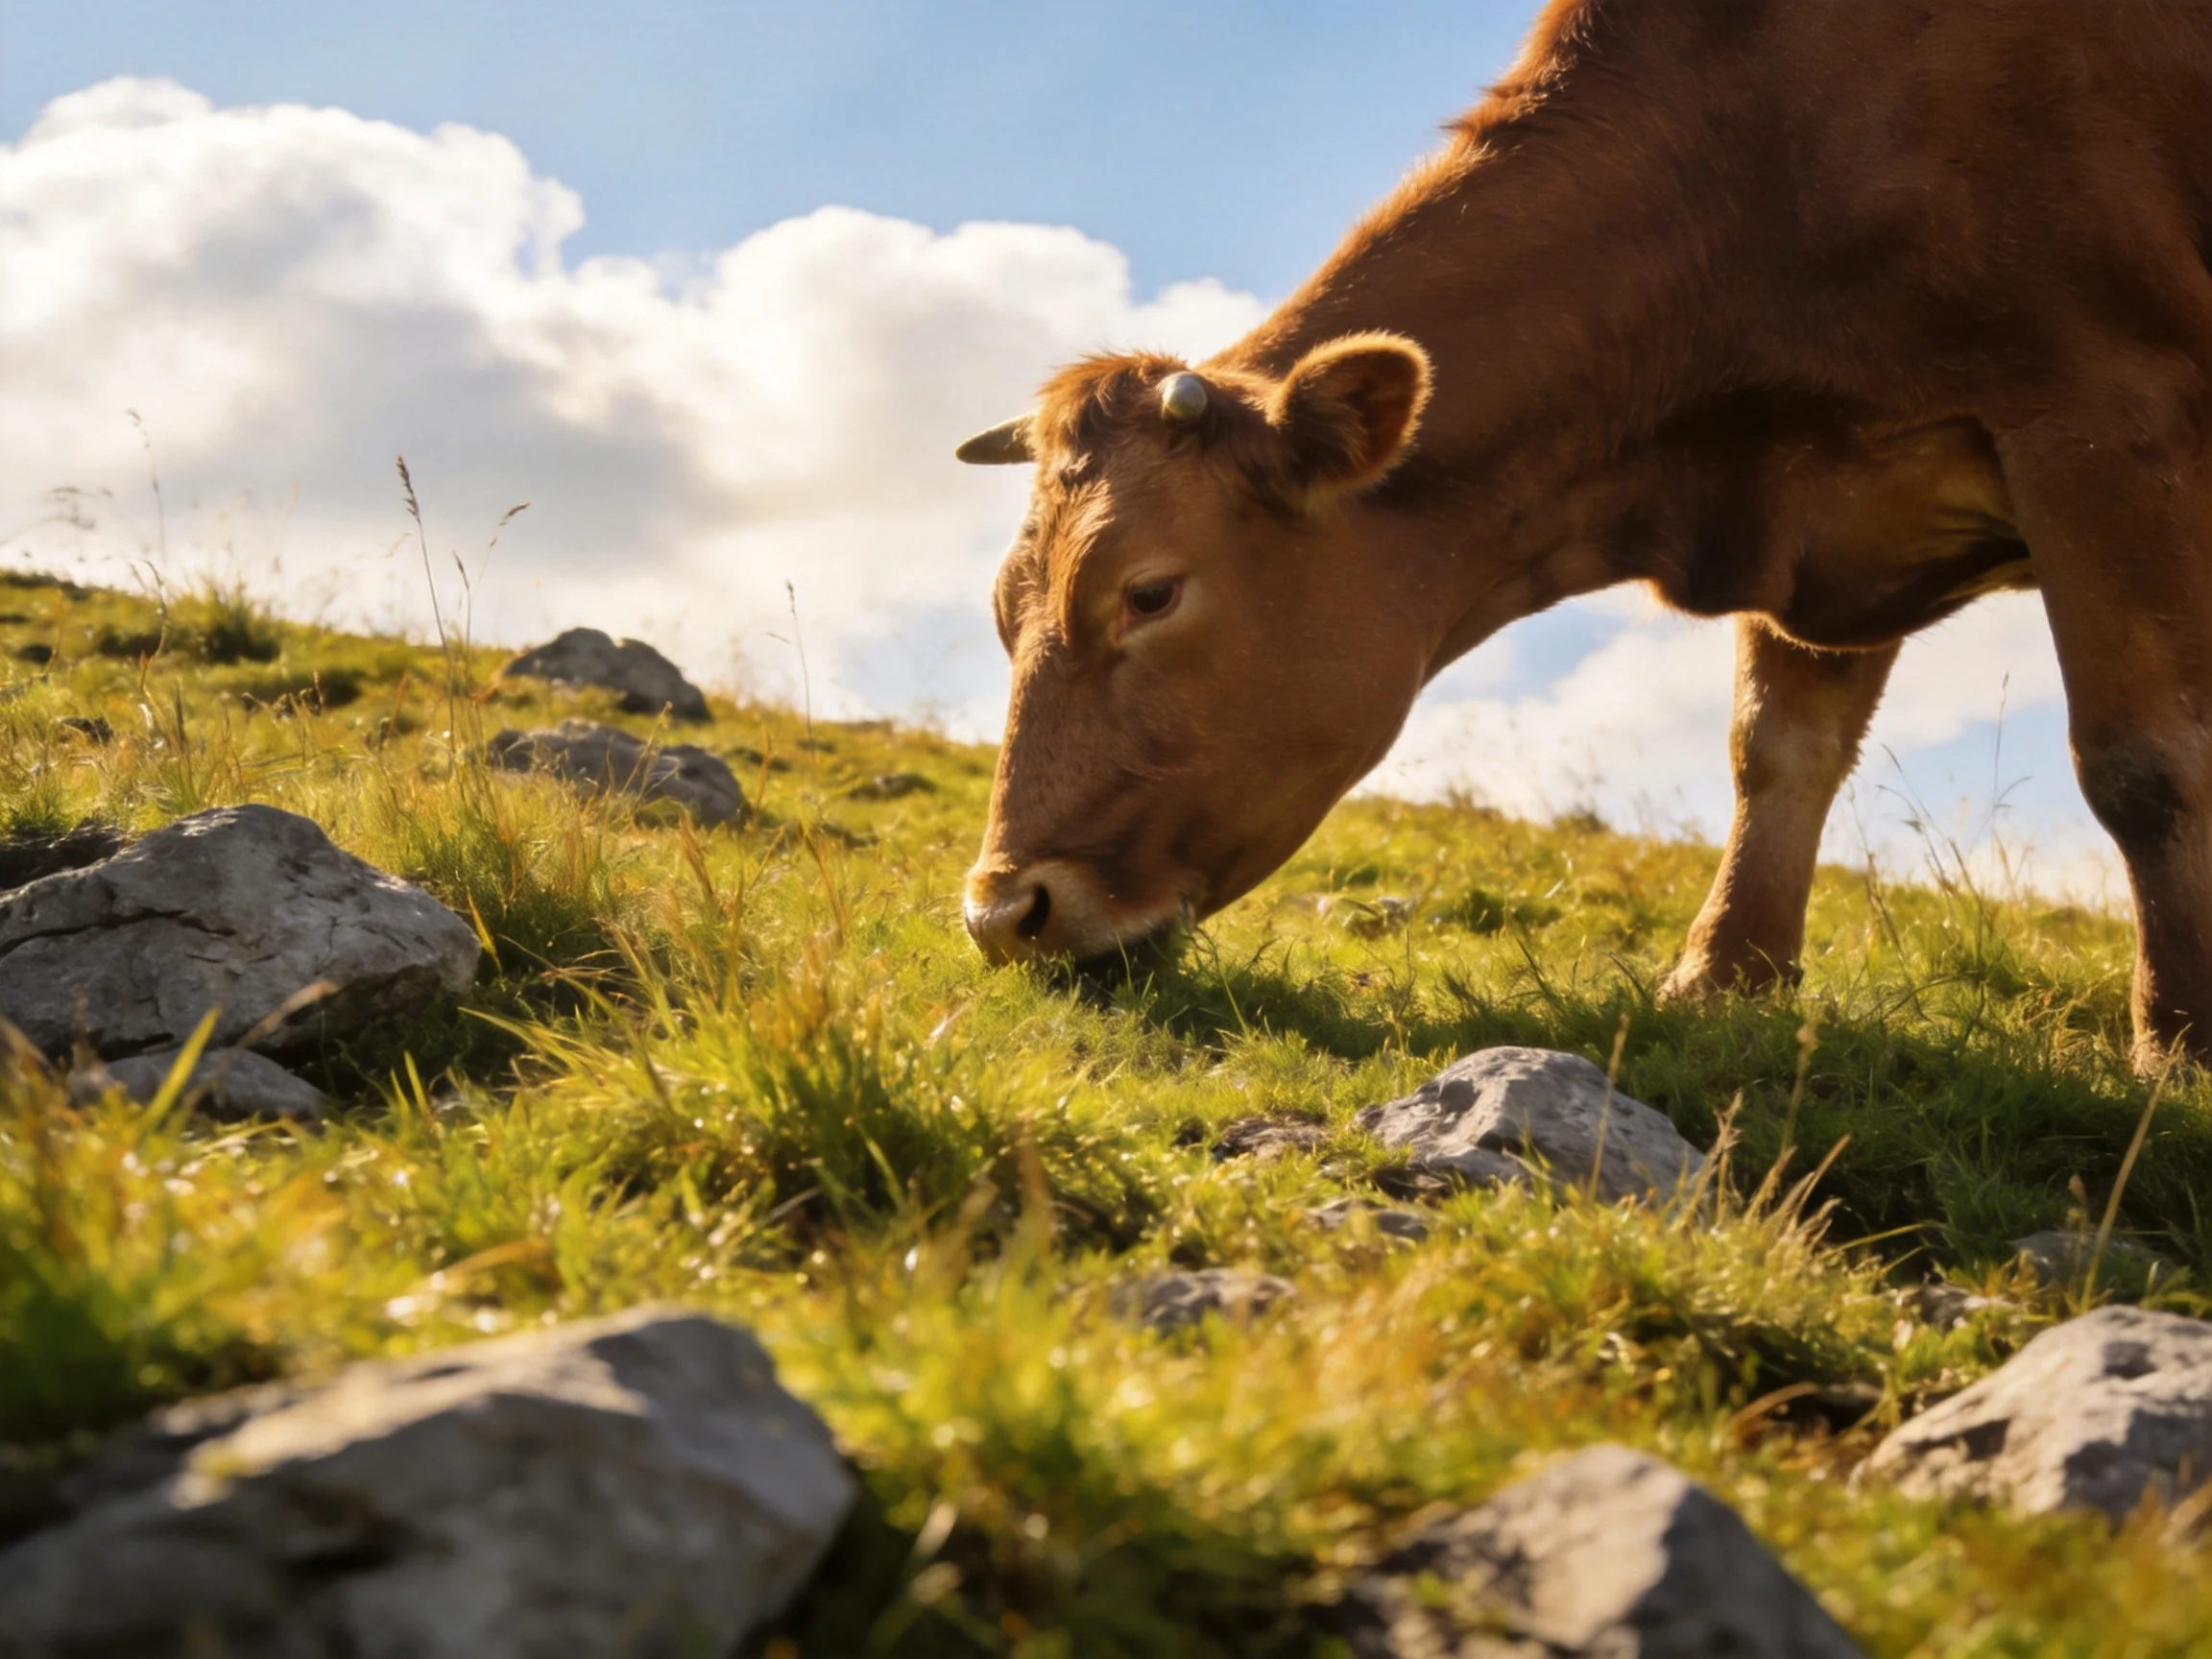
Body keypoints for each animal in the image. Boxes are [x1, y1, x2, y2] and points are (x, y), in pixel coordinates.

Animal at [955, 0, 2212, 1074]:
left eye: (1149, 593)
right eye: (1002, 615)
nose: (1003, 913)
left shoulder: (2105, 417)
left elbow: (2143, 762)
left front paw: (2180, 1045)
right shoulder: (1820, 505)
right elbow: (1778, 750)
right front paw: (1723, 981)